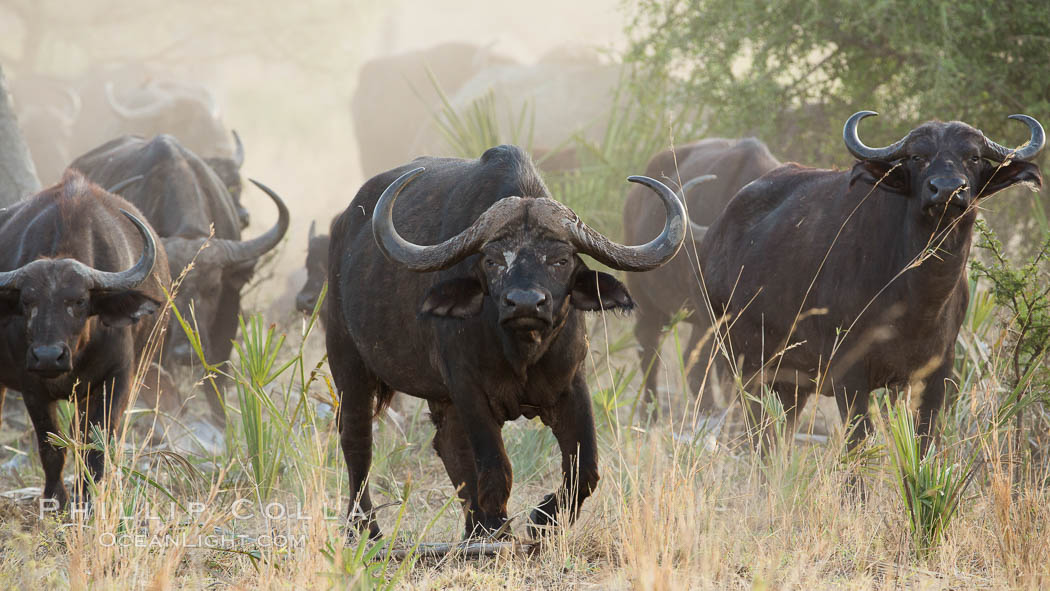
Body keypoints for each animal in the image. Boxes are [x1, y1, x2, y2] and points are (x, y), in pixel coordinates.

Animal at [329, 144, 688, 541]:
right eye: (492, 260)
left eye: (561, 259)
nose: (526, 303)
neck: (522, 352)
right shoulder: (469, 390)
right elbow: (495, 468)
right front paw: (498, 530)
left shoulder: (572, 385)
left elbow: (585, 469)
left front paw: (541, 520)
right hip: (348, 364)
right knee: (358, 442)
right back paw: (367, 531)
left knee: (448, 446)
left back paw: (471, 529)